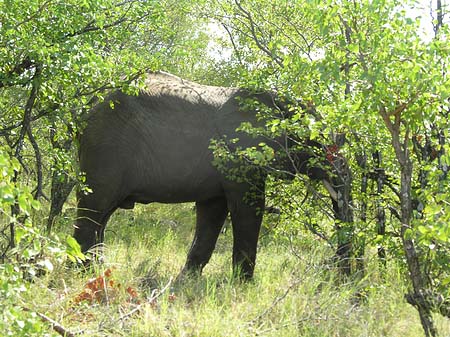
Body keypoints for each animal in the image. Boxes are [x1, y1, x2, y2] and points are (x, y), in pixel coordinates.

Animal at [74, 73, 330, 278]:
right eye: (316, 142)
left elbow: (213, 211)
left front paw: (188, 280)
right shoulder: (239, 155)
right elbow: (248, 208)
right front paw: (243, 285)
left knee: (102, 214)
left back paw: (97, 269)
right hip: (105, 147)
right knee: (95, 205)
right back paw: (83, 272)